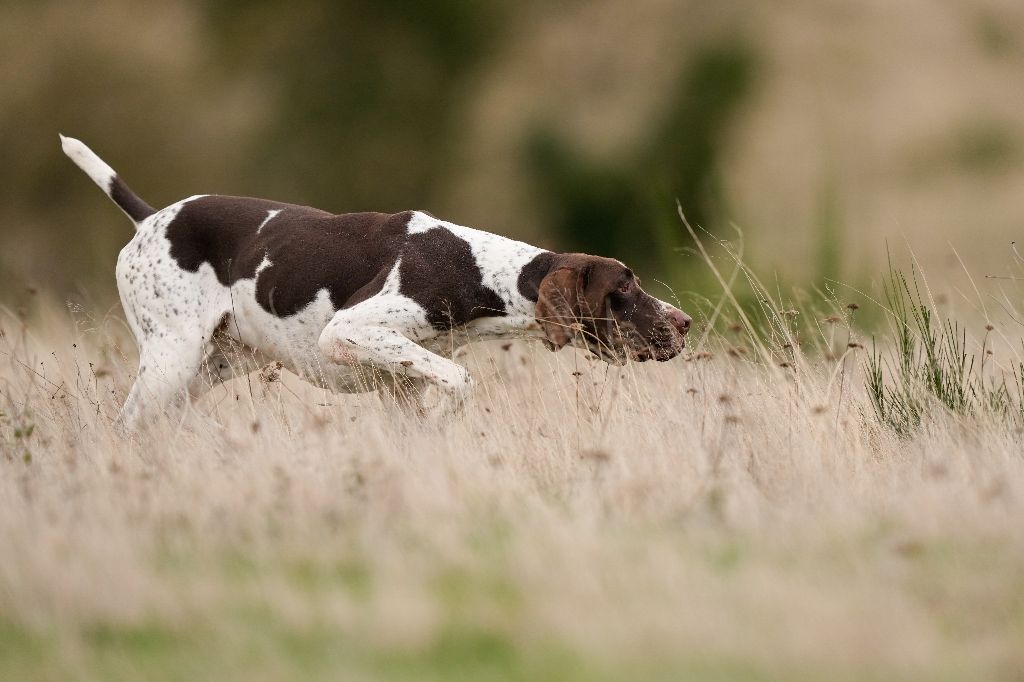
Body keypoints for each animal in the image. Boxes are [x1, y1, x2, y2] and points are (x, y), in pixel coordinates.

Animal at [59, 135, 692, 428]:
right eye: (624, 289)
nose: (684, 322)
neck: (475, 267)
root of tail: (150, 218)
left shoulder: (401, 386)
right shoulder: (351, 331)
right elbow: (461, 382)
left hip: (205, 370)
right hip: (172, 359)